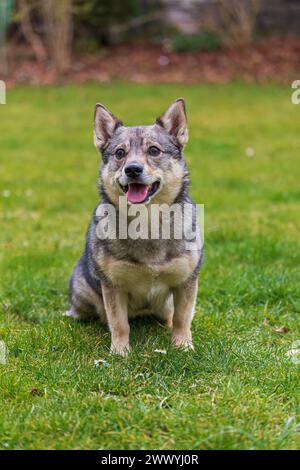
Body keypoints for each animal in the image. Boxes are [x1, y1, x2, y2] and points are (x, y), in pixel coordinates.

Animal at [67, 100, 203, 356]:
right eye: (120, 153)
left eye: (154, 150)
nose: (132, 169)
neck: (146, 223)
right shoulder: (113, 286)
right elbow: (119, 323)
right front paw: (120, 352)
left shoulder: (186, 281)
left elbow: (182, 318)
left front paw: (183, 346)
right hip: (82, 290)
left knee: (169, 316)